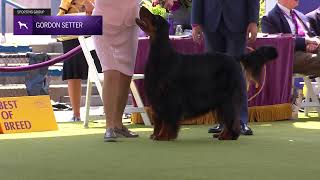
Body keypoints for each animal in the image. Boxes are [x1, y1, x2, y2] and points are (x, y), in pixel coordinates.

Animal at [135, 6, 278, 141]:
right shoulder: (156, 97)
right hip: (221, 100)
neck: (162, 55)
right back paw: (222, 134)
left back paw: (228, 135)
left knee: (231, 118)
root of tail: (234, 58)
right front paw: (156, 135)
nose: (141, 7)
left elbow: (167, 120)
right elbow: (158, 120)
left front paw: (164, 136)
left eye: (155, 18)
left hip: (228, 97)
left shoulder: (169, 97)